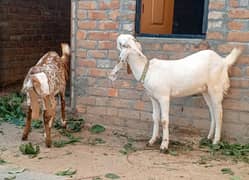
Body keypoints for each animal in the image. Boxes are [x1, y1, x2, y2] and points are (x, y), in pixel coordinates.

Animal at [109, 34, 241, 152]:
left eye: (122, 44)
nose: (117, 39)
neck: (148, 70)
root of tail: (223, 61)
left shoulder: (164, 97)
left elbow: (164, 120)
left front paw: (164, 145)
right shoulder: (153, 98)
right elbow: (155, 118)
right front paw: (152, 140)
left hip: (215, 87)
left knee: (219, 113)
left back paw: (216, 142)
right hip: (206, 90)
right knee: (212, 111)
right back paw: (209, 137)